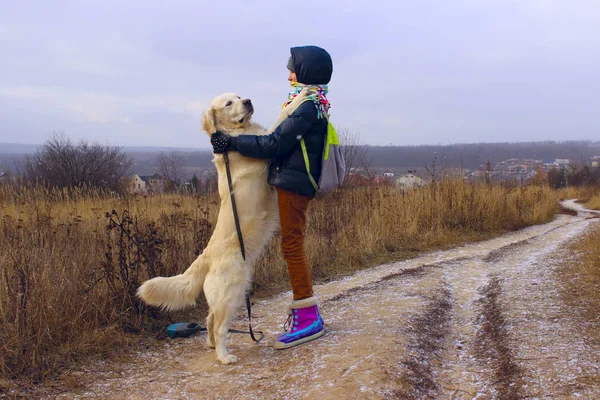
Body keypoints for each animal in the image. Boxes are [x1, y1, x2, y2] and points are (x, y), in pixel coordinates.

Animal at [135, 89, 304, 364]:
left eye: (239, 95)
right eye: (228, 103)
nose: (248, 101)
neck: (233, 136)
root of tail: (205, 256)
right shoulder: (265, 144)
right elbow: (281, 122)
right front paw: (300, 99)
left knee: (209, 319)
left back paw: (212, 346)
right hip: (231, 294)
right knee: (219, 326)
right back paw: (224, 356)